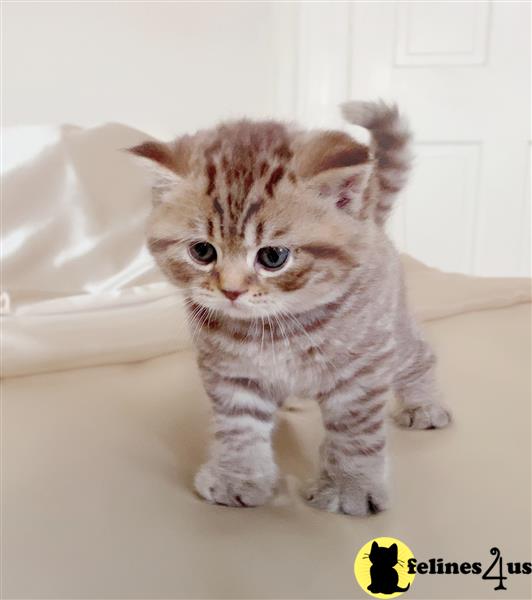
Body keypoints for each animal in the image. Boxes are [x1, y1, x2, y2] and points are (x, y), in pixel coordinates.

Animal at [128, 99, 448, 516]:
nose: (231, 290)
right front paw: (239, 478)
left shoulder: (361, 372)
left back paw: (422, 404)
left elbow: (355, 434)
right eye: (202, 251)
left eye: (273, 257)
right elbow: (240, 427)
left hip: (391, 331)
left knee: (418, 355)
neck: (276, 328)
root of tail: (369, 217)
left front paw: (351, 485)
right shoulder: (232, 372)